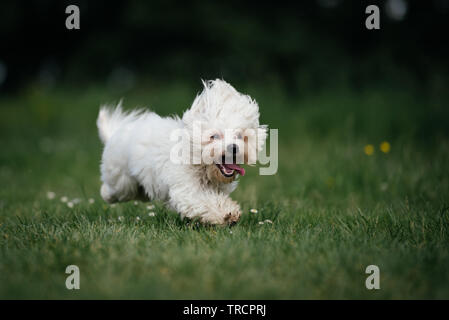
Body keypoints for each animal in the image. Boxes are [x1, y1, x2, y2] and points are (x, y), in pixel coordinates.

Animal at [97, 79, 266, 225]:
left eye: (240, 136)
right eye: (214, 136)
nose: (234, 147)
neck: (201, 165)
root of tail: (115, 133)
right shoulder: (186, 189)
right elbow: (202, 202)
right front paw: (225, 214)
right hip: (122, 181)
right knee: (113, 190)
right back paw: (105, 194)